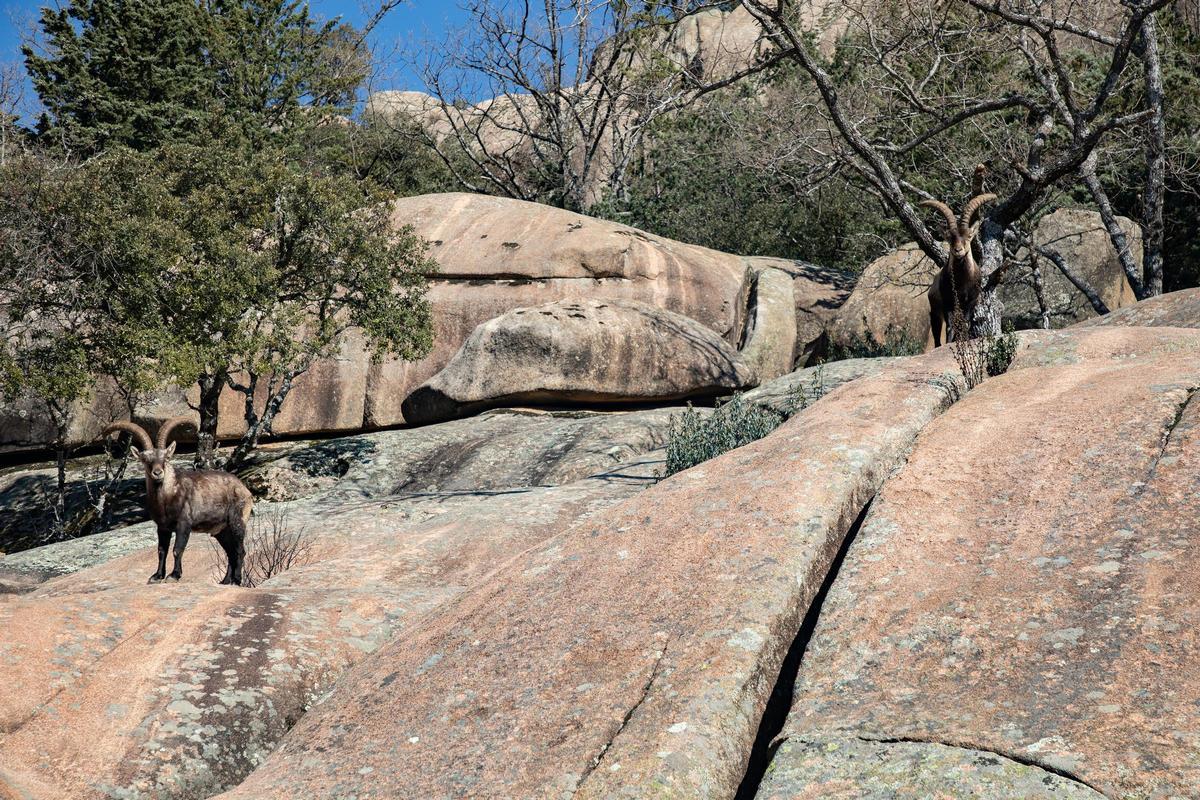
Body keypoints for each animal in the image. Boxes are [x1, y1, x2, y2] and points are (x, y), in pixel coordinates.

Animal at [102, 417, 253, 585]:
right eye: (145, 460)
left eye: (166, 458)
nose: (157, 473)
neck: (167, 498)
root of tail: (245, 489)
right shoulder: (162, 527)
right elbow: (162, 551)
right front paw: (157, 576)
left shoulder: (184, 523)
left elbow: (177, 549)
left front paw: (174, 575)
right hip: (221, 531)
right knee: (230, 552)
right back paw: (225, 581)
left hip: (237, 521)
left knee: (240, 551)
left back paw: (237, 580)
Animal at [921, 190, 997, 346]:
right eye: (950, 237)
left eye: (969, 236)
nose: (958, 250)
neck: (963, 280)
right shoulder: (948, 302)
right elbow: (950, 326)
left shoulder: (971, 301)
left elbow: (966, 324)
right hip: (935, 313)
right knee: (937, 335)